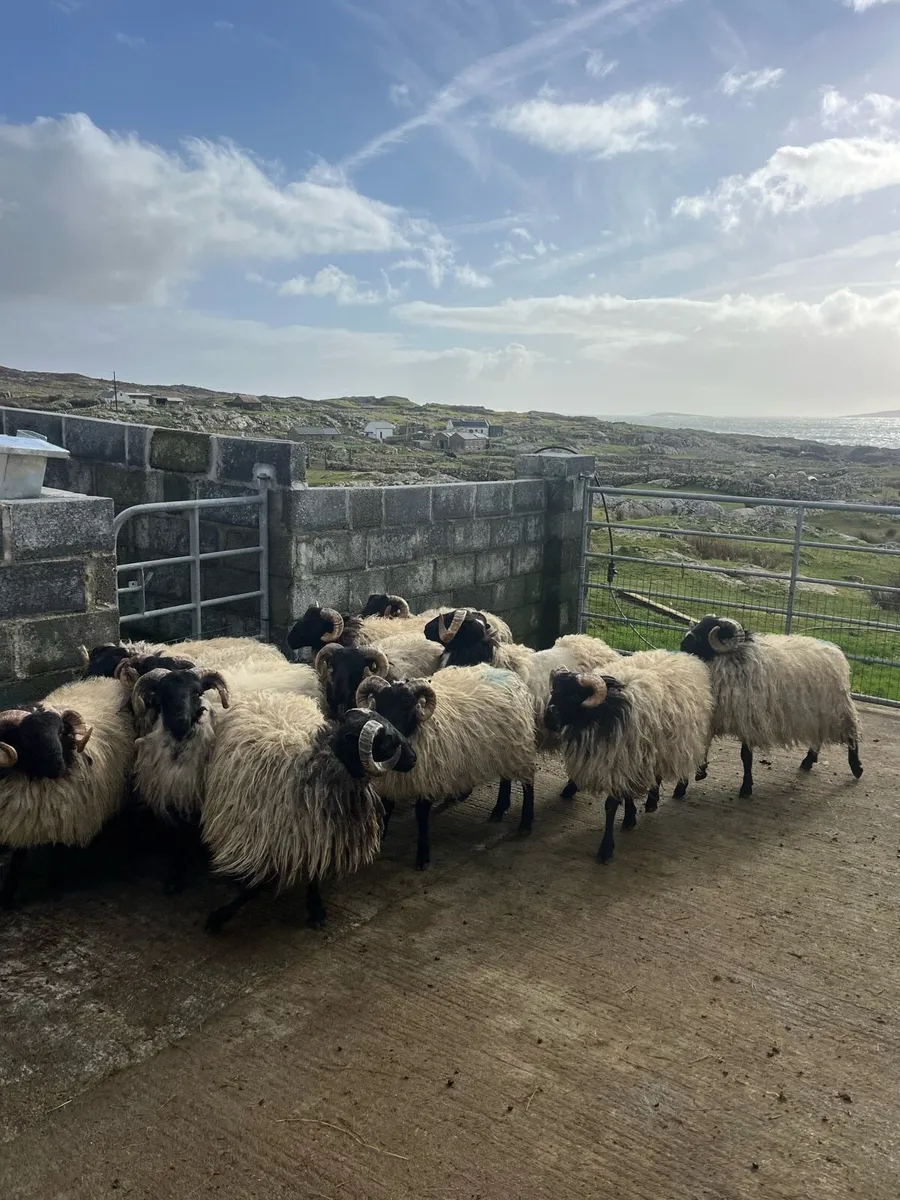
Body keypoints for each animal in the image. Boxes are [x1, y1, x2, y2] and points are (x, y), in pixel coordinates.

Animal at [0, 677, 135, 905]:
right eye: (26, 735)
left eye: (61, 731)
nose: (58, 766)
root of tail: (110, 680)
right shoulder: (23, 819)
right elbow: (17, 859)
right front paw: (8, 894)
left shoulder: (66, 817)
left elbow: (58, 853)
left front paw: (54, 884)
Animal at [200, 691, 416, 932]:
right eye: (388, 742)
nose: (413, 758)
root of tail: (269, 694)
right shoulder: (265, 837)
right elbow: (253, 887)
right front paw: (220, 916)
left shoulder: (318, 835)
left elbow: (314, 873)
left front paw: (316, 909)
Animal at [355, 665, 537, 870]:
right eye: (380, 706)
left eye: (407, 707)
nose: (387, 742)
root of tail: (511, 676)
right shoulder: (391, 779)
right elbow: (387, 807)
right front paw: (381, 841)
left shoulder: (427, 778)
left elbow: (421, 816)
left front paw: (423, 857)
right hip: (503, 750)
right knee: (506, 779)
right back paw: (499, 809)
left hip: (519, 748)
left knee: (528, 783)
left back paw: (525, 824)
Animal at [545, 650, 714, 864]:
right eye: (554, 691)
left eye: (575, 694)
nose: (548, 720)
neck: (606, 709)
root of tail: (687, 656)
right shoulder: (624, 761)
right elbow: (626, 794)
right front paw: (630, 816)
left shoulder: (623, 759)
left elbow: (610, 806)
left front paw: (606, 849)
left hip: (674, 742)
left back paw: (657, 799)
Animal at [679, 614, 863, 798]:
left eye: (707, 630)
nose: (684, 643)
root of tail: (836, 651)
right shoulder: (714, 717)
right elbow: (702, 747)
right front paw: (693, 778)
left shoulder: (749, 721)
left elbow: (746, 756)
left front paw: (746, 788)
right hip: (817, 715)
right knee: (818, 737)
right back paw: (808, 761)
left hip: (837, 710)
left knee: (851, 735)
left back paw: (857, 768)